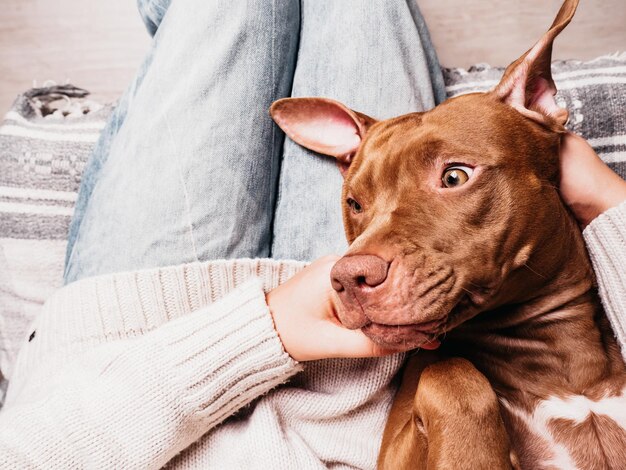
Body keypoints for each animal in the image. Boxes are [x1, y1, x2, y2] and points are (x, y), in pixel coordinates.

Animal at [270, 1, 624, 468]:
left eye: (455, 176)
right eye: (355, 203)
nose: (350, 277)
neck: (556, 350)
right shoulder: (394, 451)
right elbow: (451, 373)